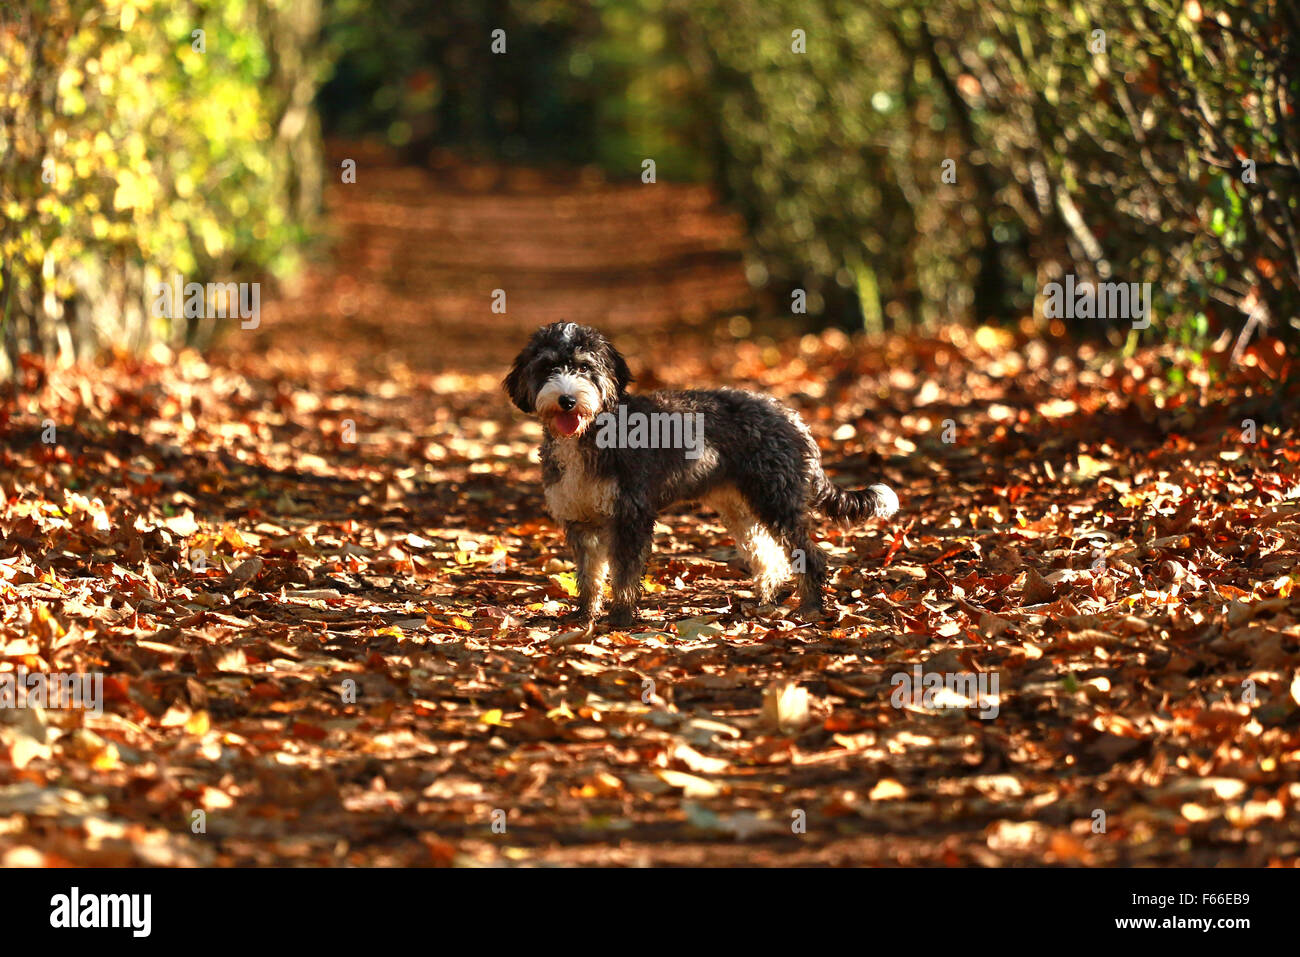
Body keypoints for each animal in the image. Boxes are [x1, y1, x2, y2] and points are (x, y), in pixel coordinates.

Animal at [501, 321, 899, 629]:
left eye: (584, 368)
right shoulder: (580, 521)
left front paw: (621, 618)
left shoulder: (631, 516)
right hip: (741, 510)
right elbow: (588, 576)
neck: (591, 433)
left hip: (777, 502)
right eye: (547, 368)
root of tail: (792, 417)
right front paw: (584, 615)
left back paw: (812, 609)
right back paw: (766, 603)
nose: (567, 399)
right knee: (768, 557)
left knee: (810, 557)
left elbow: (625, 575)